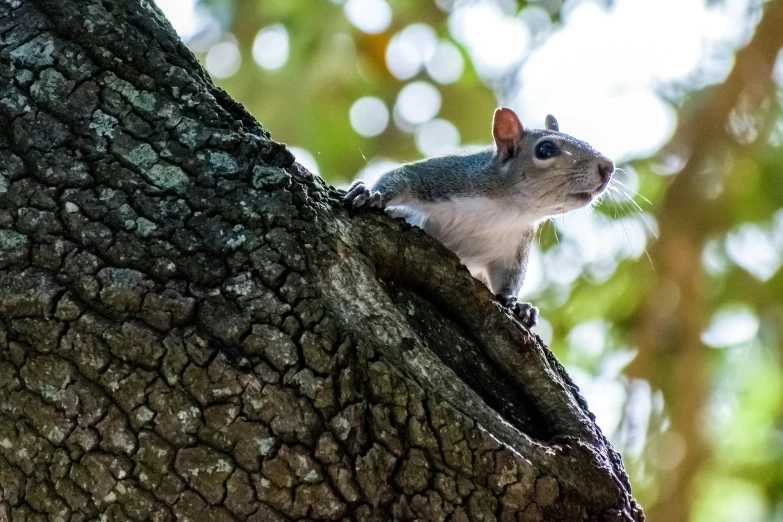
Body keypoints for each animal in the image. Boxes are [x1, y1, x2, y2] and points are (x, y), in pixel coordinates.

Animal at [346, 106, 616, 328]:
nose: (608, 167)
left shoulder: (514, 245)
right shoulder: (447, 177)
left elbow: (509, 276)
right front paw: (371, 194)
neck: (507, 208)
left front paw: (518, 304)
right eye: (545, 149)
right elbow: (403, 177)